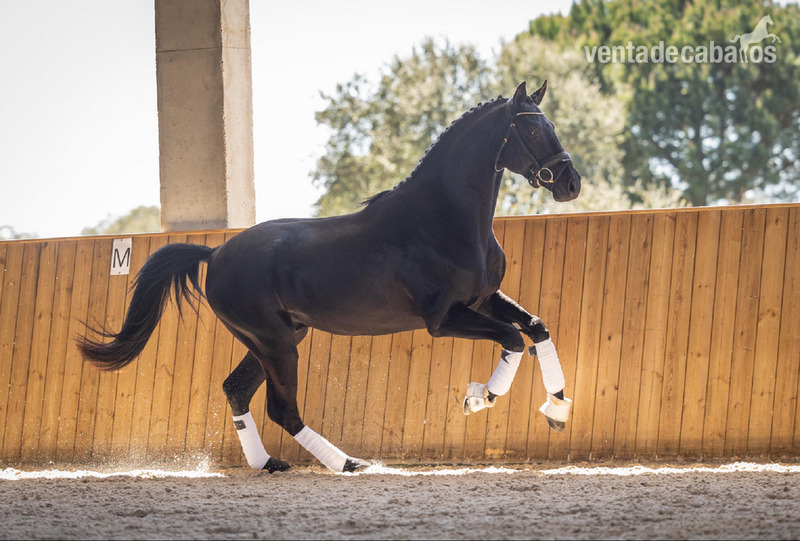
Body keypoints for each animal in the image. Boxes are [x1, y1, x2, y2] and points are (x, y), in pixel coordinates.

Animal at [78, 81, 581, 473]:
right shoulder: (443, 319)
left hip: (276, 339)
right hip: (276, 344)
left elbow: (536, 327)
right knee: (281, 409)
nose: (570, 183)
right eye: (531, 129)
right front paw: (479, 399)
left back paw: (270, 463)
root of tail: (216, 252)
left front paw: (557, 408)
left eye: (552, 126)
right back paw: (347, 463)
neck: (444, 219)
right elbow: (512, 339)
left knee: (237, 391)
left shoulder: (483, 299)